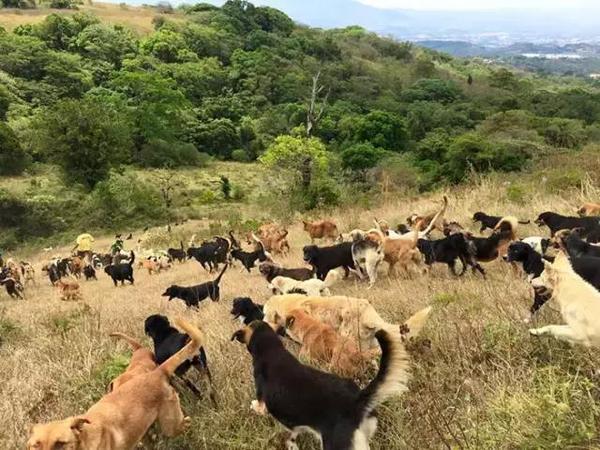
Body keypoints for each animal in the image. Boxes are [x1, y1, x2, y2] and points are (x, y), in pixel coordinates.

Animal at [27, 318, 204, 450]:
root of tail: (157, 372)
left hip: (171, 425)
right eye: (35, 445)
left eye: (60, 444)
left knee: (186, 422)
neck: (84, 438)